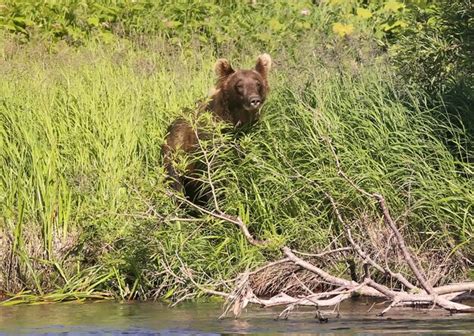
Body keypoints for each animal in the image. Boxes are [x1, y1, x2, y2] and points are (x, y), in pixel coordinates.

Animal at [162, 54, 270, 205]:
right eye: (239, 85)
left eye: (257, 83)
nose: (254, 100)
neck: (235, 120)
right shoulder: (210, 143)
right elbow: (214, 175)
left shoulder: (246, 137)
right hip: (175, 152)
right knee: (174, 180)